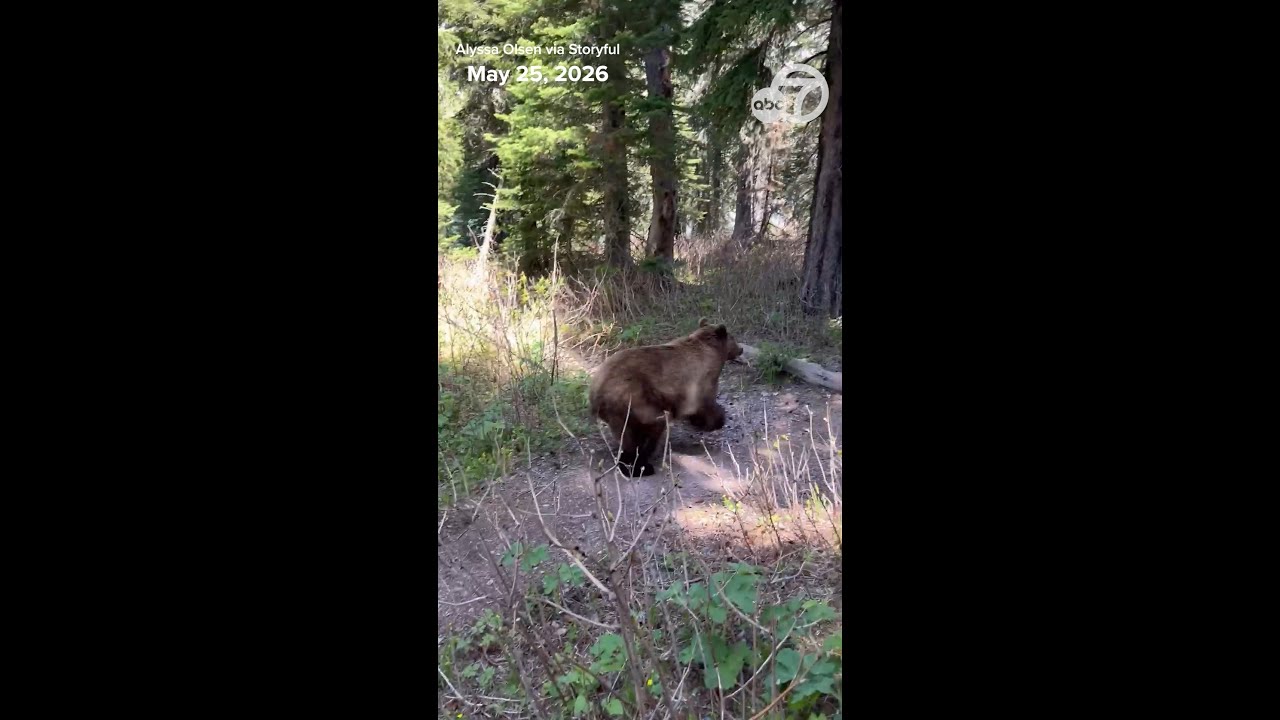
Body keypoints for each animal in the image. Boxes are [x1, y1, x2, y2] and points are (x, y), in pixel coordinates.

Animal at [588, 318, 743, 476]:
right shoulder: (700, 380)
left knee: (627, 435)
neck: (712, 351)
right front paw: (715, 421)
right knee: (652, 426)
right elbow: (705, 404)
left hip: (620, 411)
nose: (741, 349)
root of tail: (597, 391)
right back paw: (642, 465)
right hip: (637, 398)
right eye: (733, 338)